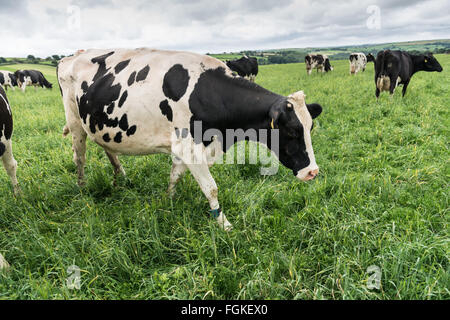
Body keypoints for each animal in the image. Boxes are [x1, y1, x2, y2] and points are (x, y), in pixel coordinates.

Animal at [58, 48, 324, 231]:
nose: (312, 172)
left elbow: (175, 176)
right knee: (79, 156)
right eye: (292, 132)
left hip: (99, 123)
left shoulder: (186, 147)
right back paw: (82, 187)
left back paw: (121, 176)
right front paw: (224, 224)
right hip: (74, 121)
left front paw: (169, 200)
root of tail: (71, 56)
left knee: (107, 148)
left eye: (310, 127)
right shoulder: (190, 148)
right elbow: (211, 188)